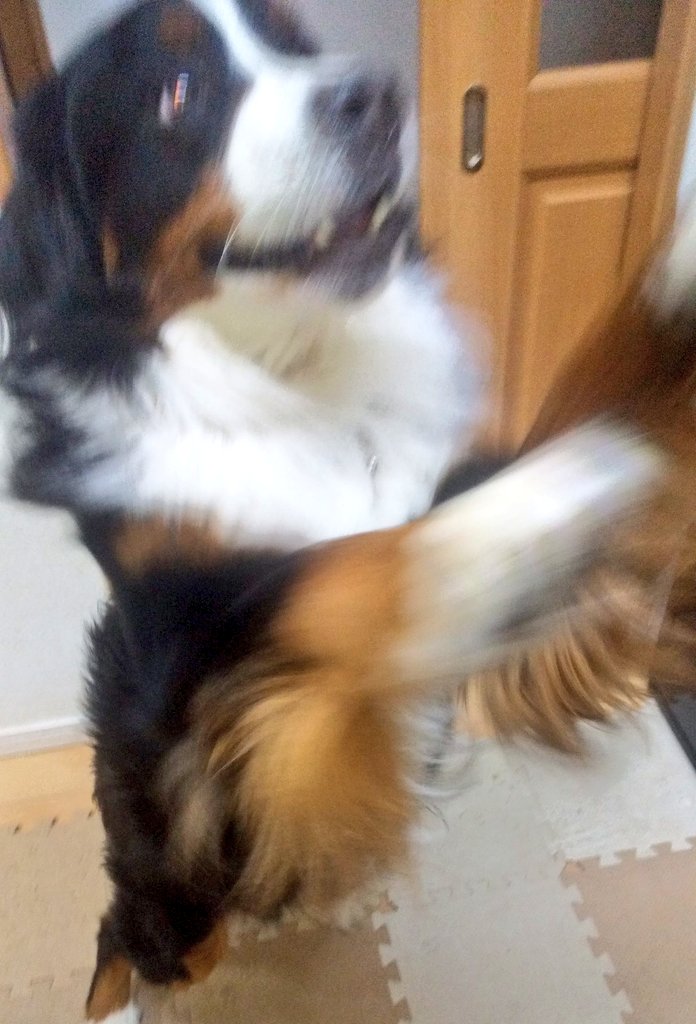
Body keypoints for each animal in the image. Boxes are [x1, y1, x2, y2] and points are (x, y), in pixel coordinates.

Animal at [0, 2, 692, 1022]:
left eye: (295, 42)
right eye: (179, 92)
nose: (377, 96)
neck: (300, 374)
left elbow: (587, 399)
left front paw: (678, 277)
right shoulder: (195, 660)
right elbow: (345, 569)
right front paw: (517, 523)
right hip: (175, 874)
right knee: (128, 939)